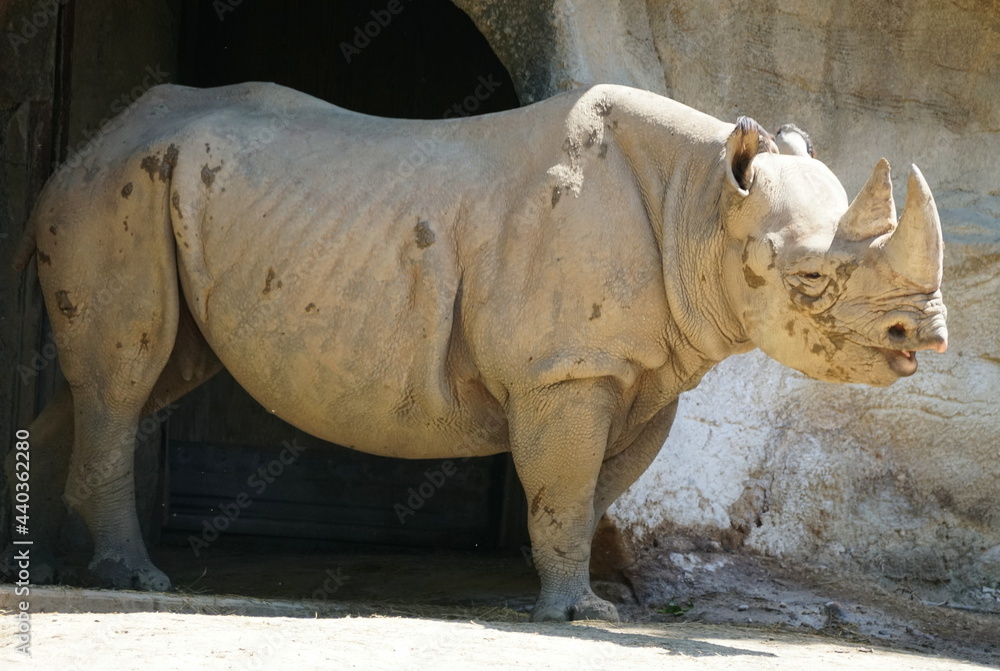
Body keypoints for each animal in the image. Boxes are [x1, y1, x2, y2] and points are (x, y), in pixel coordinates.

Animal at [11, 82, 947, 622]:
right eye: (811, 281)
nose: (925, 336)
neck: (702, 202)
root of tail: (87, 142)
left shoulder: (640, 369)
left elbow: (594, 486)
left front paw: (569, 596)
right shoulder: (570, 364)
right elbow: (568, 483)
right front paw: (584, 615)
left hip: (150, 192)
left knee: (139, 375)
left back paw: (51, 562)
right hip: (115, 194)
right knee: (126, 377)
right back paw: (136, 580)